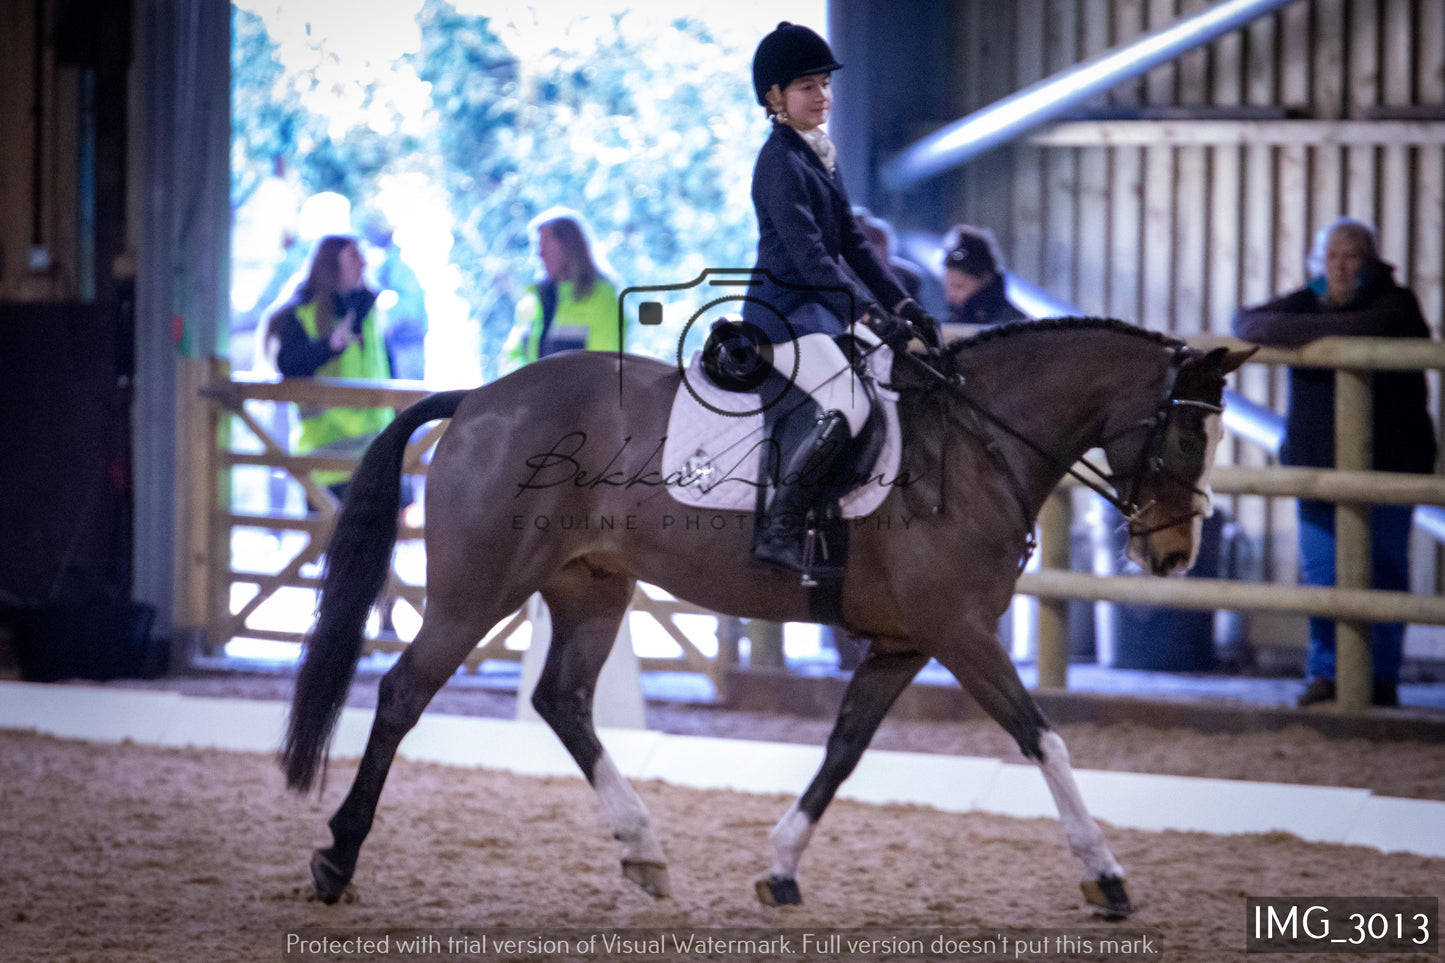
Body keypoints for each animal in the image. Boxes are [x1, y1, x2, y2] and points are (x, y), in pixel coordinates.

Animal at [278, 316, 1254, 913]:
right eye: (1183, 432)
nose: (1173, 556)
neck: (975, 443)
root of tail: (479, 399)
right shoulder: (959, 634)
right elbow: (1041, 737)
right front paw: (1106, 874)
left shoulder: (903, 643)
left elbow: (843, 750)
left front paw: (779, 868)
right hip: (476, 591)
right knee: (403, 692)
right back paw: (335, 858)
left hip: (590, 586)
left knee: (562, 700)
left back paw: (643, 849)